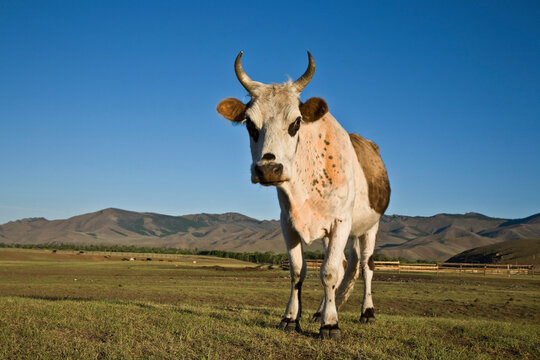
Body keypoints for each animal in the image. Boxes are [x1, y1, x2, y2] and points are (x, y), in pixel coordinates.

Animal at [217, 51, 390, 340]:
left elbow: (328, 272)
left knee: (366, 266)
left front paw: (331, 325)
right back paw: (321, 311)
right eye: (250, 123)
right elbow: (298, 271)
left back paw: (367, 312)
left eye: (296, 122)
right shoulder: (288, 223)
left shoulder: (341, 222)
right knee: (345, 264)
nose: (268, 169)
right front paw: (291, 318)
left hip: (369, 227)